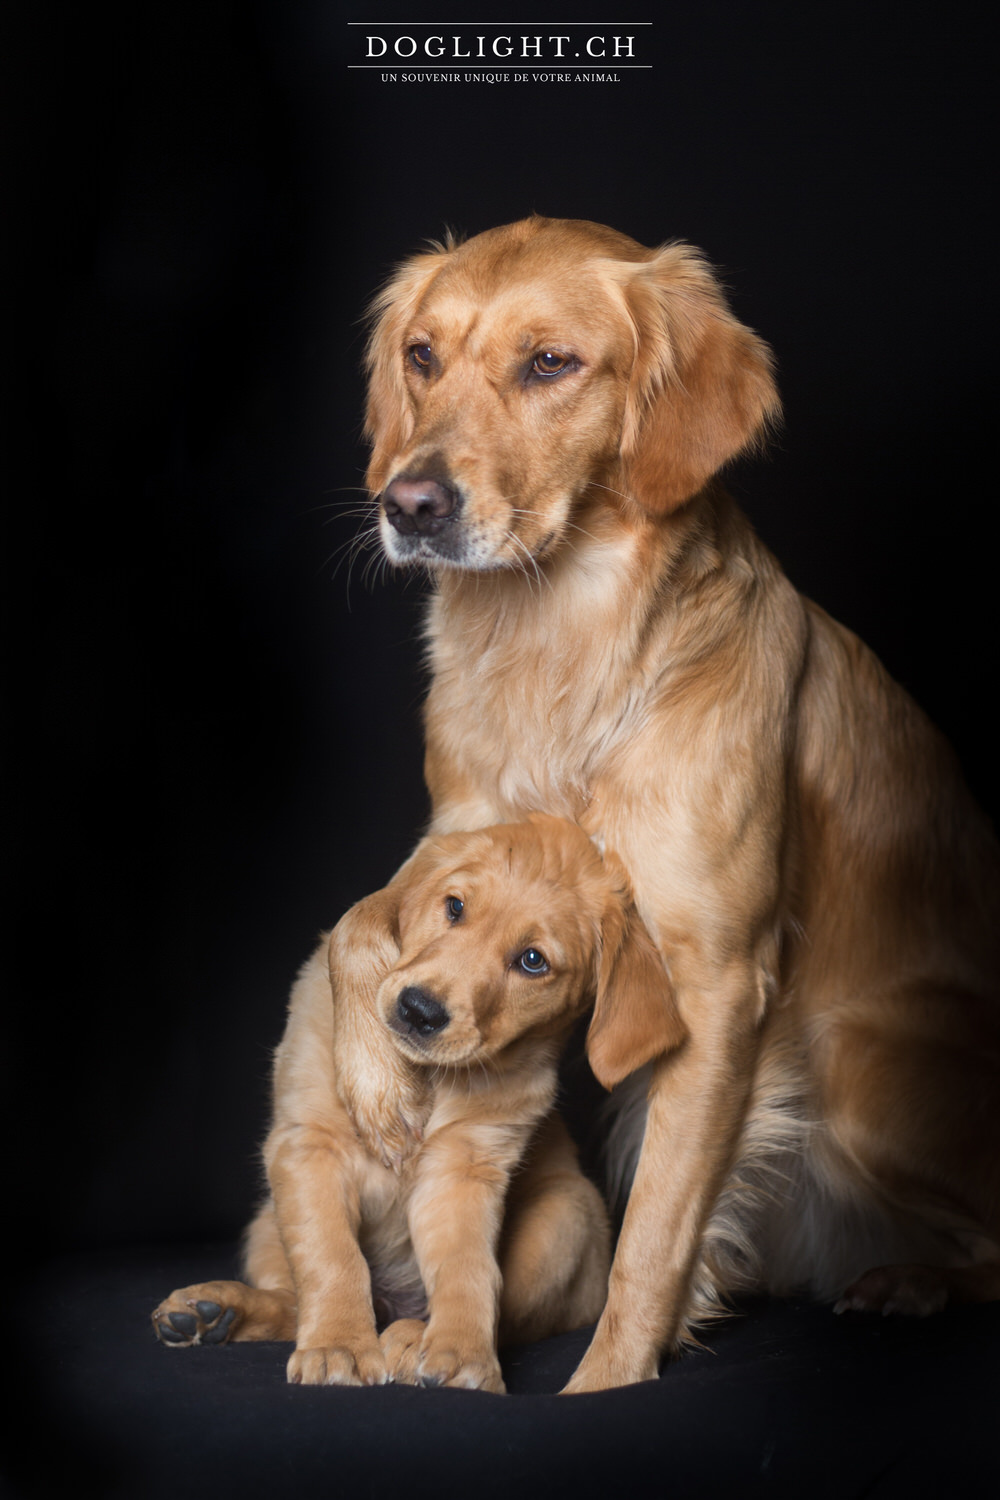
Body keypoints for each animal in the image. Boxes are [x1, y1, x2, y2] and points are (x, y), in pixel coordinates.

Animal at [152, 816, 668, 1386]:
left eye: (533, 961)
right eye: (455, 907)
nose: (420, 1011)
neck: (430, 1081)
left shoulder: (461, 1172)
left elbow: (470, 1272)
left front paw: (461, 1352)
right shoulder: (309, 1147)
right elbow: (332, 1256)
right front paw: (337, 1344)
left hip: (568, 1215)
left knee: (499, 1310)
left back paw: (407, 1336)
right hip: (265, 1225)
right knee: (294, 1299)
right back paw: (219, 1312)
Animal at [358, 214, 1000, 1392]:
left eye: (549, 363)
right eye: (422, 356)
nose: (409, 506)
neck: (561, 646)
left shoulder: (715, 979)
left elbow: (655, 1229)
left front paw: (605, 1385)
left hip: (852, 1067)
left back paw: (908, 1280)